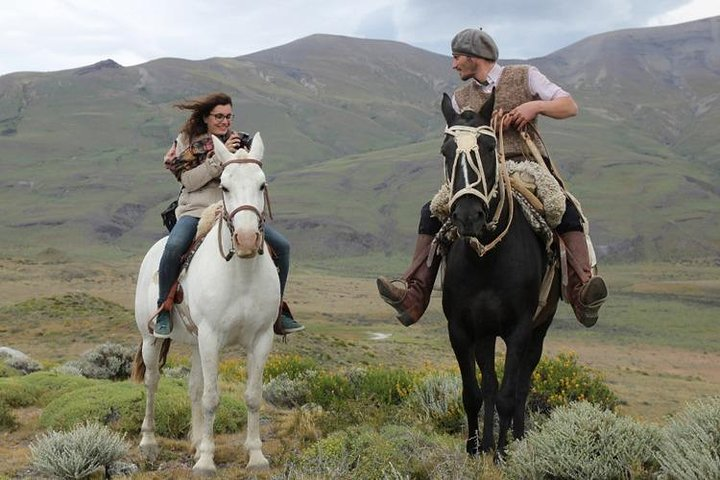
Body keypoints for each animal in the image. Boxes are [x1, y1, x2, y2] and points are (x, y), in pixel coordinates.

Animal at [131, 133, 280, 474]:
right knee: (152, 382)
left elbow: (252, 396)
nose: (247, 240)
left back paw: (197, 442)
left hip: (197, 342)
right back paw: (149, 443)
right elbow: (212, 398)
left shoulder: (260, 338)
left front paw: (256, 456)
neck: (241, 275)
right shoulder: (212, 337)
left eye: (262, 184)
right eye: (224, 186)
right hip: (151, 339)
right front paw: (207, 463)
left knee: (194, 387)